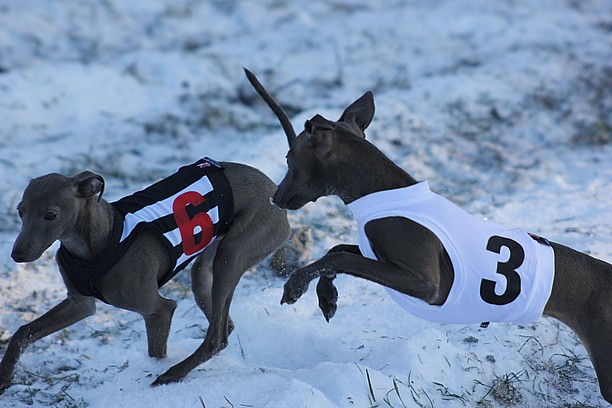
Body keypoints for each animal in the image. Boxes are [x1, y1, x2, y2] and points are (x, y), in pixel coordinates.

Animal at [2, 157, 290, 392]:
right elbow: (23, 332)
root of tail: (273, 189)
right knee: (224, 324)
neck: (101, 240)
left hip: (231, 256)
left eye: (50, 215)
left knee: (216, 339)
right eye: (20, 211)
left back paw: (173, 374)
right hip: (207, 265)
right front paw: (5, 376)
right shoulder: (79, 304)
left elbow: (156, 350)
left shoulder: (158, 311)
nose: (17, 254)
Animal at [244, 68, 612, 404]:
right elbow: (338, 250)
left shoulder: (426, 283)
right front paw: (327, 296)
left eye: (289, 158)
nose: (274, 197)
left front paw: (296, 285)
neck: (380, 190)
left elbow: (341, 255)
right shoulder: (381, 257)